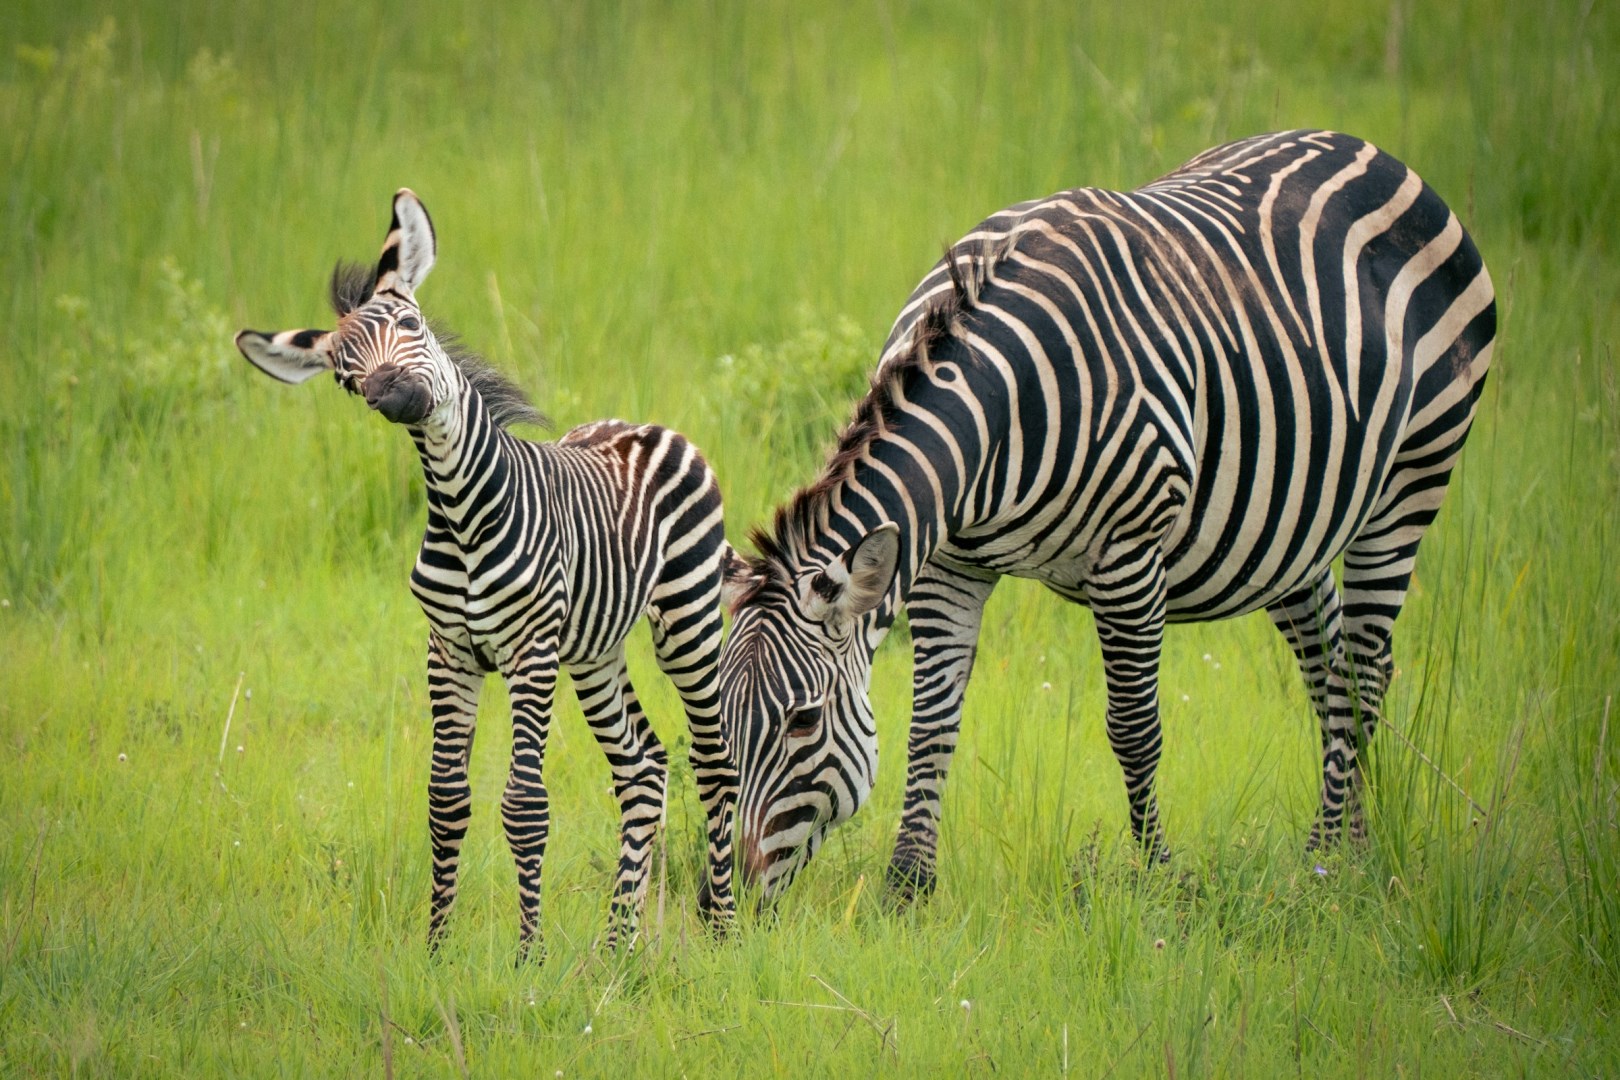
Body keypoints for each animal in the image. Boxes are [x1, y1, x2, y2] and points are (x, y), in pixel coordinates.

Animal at [235, 189, 738, 956]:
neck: (465, 511)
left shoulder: (529, 650)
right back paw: (617, 944)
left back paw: (726, 927)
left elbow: (525, 805)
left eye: (410, 323)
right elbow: (446, 801)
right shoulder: (449, 651)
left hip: (687, 620)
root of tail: (647, 426)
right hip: (593, 653)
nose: (395, 395)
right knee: (644, 768)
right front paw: (438, 949)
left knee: (716, 762)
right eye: (347, 379)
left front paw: (529, 955)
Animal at [718, 130, 1495, 901]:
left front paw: (1159, 877)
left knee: (1361, 669)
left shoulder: (1130, 556)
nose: (733, 898)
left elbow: (1133, 729)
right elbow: (931, 722)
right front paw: (908, 886)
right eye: (718, 717)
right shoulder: (947, 563)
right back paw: (1349, 849)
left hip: (1410, 482)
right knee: (1334, 669)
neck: (996, 405)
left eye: (802, 721)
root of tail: (1362, 146)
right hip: (1291, 530)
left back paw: (1324, 861)